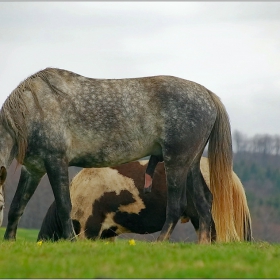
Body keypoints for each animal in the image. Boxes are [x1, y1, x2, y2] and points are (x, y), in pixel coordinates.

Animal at [0, 67, 236, 243]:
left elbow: (64, 205)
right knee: (204, 202)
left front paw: (71, 240)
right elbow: (17, 206)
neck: (33, 108)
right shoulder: (33, 169)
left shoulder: (56, 161)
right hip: (191, 164)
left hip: (176, 162)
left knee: (176, 207)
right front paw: (9, 241)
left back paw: (160, 243)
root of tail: (208, 95)